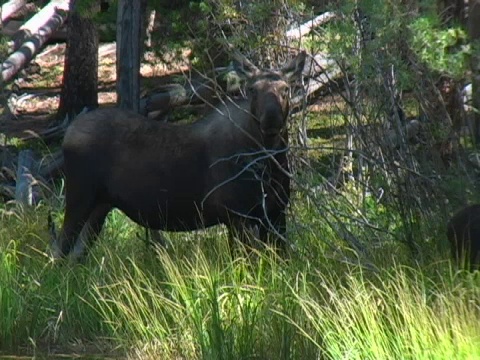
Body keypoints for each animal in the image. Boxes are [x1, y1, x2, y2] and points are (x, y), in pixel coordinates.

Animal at [51, 50, 308, 258]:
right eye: (253, 89)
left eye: (286, 89)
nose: (272, 119)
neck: (269, 162)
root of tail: (68, 132)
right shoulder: (237, 215)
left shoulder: (275, 213)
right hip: (80, 197)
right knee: (60, 251)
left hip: (100, 206)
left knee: (75, 256)